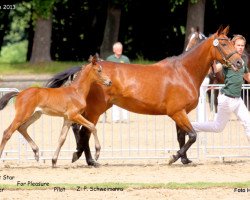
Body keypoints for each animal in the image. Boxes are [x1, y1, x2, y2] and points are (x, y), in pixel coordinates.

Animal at [45, 25, 242, 166]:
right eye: (224, 43)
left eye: (233, 42)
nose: (240, 62)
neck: (184, 72)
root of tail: (87, 67)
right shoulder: (177, 112)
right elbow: (192, 135)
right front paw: (174, 157)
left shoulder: (180, 112)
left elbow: (182, 136)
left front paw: (185, 159)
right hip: (95, 110)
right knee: (85, 131)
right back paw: (88, 159)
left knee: (80, 129)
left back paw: (82, 156)